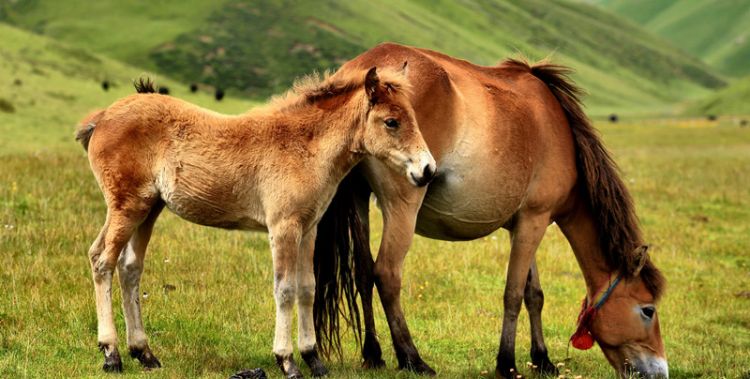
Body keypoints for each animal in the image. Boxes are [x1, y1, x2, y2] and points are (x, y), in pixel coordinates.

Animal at [73, 67, 438, 378]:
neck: (303, 147)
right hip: (127, 206)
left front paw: (314, 360)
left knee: (130, 268)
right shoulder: (283, 227)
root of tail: (101, 118)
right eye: (391, 122)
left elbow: (307, 288)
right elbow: (285, 289)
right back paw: (112, 354)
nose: (428, 170)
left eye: (413, 117)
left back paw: (144, 353)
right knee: (102, 259)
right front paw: (287, 361)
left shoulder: (308, 229)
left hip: (149, 208)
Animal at [312, 43, 668, 378]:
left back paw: (373, 354)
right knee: (386, 274)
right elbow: (513, 294)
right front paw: (507, 363)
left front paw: (542, 360)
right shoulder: (535, 221)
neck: (560, 132)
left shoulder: (523, 224)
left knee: (362, 275)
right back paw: (412, 359)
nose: (661, 371)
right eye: (647, 310)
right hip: (403, 206)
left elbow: (534, 294)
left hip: (359, 200)